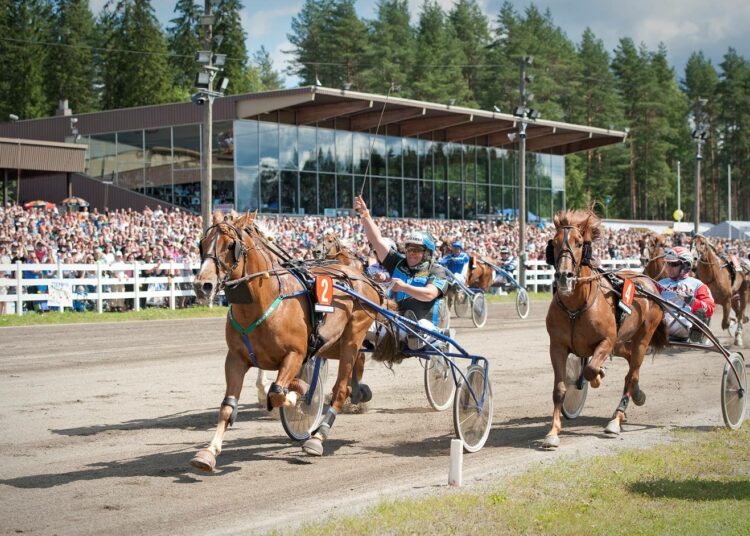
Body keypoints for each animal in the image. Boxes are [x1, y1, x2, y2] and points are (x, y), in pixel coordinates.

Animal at [191, 214, 384, 468]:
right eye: (202, 243)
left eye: (231, 245)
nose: (202, 285)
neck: (265, 300)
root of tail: (362, 278)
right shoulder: (235, 359)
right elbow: (227, 407)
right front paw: (209, 452)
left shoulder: (295, 354)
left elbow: (278, 393)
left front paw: (296, 395)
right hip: (334, 343)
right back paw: (358, 393)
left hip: (353, 336)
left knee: (341, 389)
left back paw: (319, 437)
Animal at [548, 209, 668, 448]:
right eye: (554, 243)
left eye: (579, 243)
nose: (564, 277)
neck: (575, 307)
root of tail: (648, 282)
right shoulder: (556, 346)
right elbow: (559, 389)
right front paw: (553, 432)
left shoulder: (606, 341)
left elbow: (589, 369)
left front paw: (596, 377)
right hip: (622, 341)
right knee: (630, 363)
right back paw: (637, 395)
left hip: (642, 338)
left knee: (632, 374)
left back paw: (616, 419)